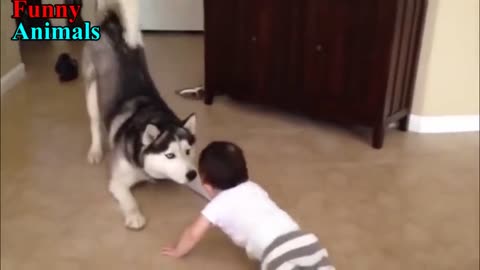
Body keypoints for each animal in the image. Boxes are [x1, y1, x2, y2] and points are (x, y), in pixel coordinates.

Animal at [82, 0, 197, 230]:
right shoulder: (117, 181)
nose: (191, 174)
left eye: (188, 151)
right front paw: (134, 215)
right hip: (91, 87)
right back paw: (96, 150)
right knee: (94, 122)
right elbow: (128, 198)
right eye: (169, 155)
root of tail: (111, 23)